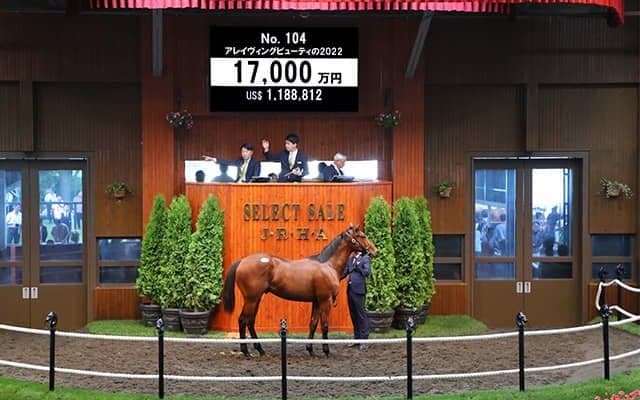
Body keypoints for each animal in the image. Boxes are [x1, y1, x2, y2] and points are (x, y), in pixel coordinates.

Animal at [222, 224, 378, 357]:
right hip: (251, 299)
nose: (374, 251)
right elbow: (324, 325)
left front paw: (310, 350)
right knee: (243, 320)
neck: (328, 265)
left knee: (250, 321)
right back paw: (246, 351)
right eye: (362, 236)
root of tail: (242, 261)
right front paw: (326, 351)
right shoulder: (325, 300)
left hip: (256, 298)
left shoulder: (316, 301)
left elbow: (313, 324)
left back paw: (260, 350)